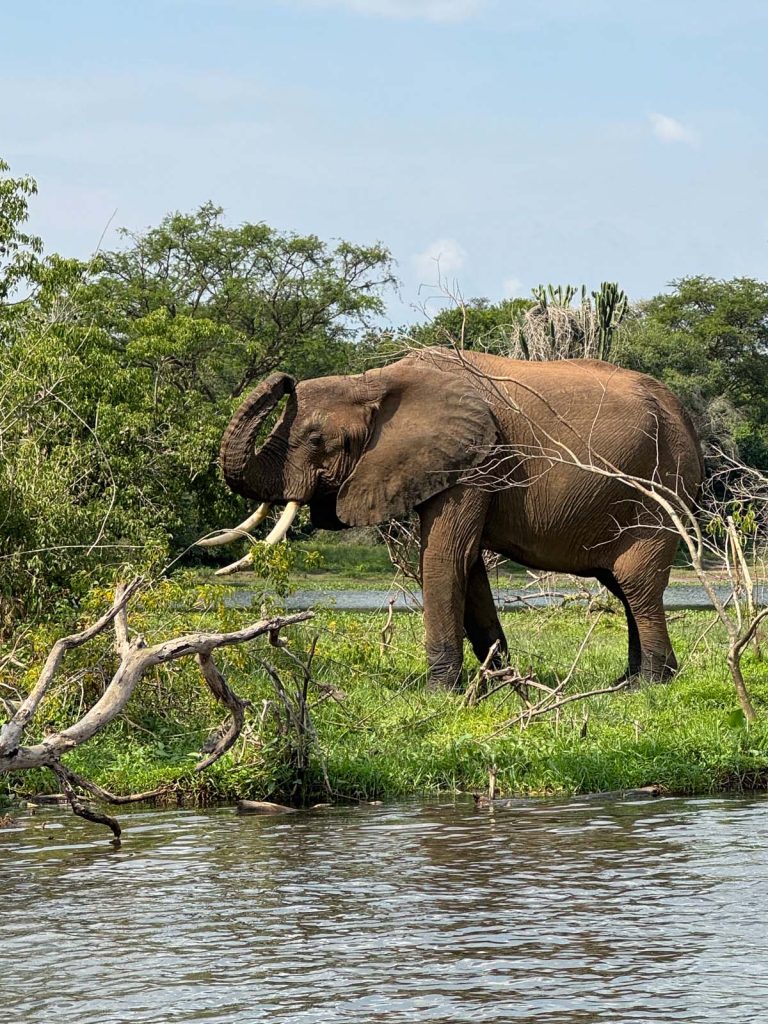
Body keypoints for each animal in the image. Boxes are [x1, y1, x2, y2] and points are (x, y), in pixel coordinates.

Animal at [201, 347, 703, 688]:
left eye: (316, 439)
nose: (285, 379)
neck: (375, 381)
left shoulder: (473, 461)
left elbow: (445, 557)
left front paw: (439, 692)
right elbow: (469, 565)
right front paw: (500, 680)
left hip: (662, 485)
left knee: (636, 582)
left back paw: (647, 684)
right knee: (621, 586)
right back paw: (632, 680)